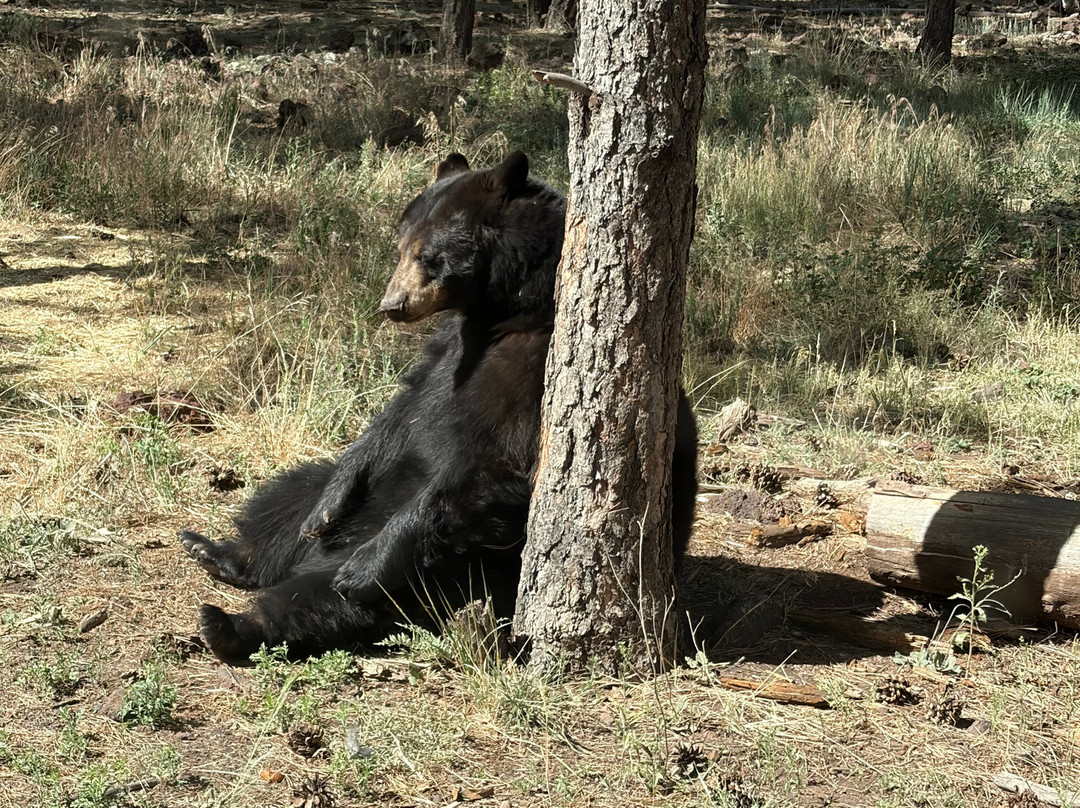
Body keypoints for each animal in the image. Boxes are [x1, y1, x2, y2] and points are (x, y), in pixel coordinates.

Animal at [179, 150, 698, 665]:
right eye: (400, 247)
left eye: (428, 255)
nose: (391, 304)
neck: (507, 314)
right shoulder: (449, 349)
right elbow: (397, 416)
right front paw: (327, 504)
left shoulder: (538, 375)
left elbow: (494, 470)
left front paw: (365, 566)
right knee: (291, 499)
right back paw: (222, 551)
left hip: (463, 569)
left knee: (330, 596)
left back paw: (234, 622)